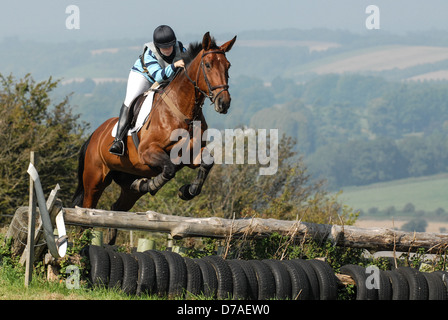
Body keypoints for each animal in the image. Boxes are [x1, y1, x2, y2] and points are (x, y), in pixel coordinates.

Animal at [72, 31, 236, 242]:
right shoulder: (148, 152)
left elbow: (206, 162)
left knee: (117, 208)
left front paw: (187, 191)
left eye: (227, 66)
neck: (183, 111)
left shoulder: (190, 155)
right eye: (207, 65)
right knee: (86, 213)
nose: (224, 103)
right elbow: (169, 169)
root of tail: (93, 136)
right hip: (94, 180)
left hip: (126, 184)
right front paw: (153, 184)